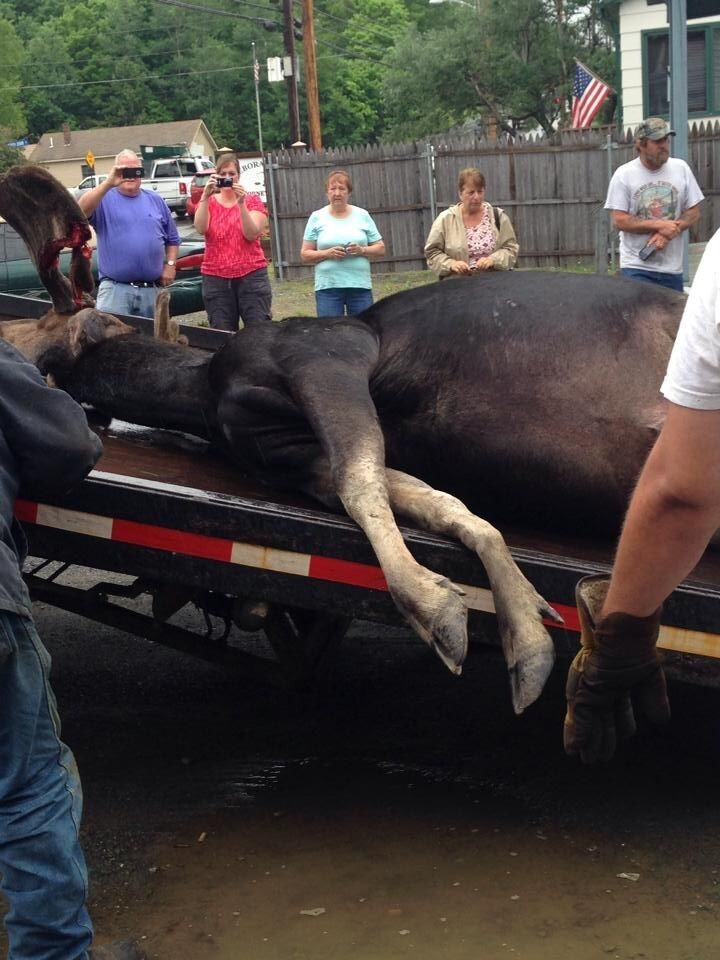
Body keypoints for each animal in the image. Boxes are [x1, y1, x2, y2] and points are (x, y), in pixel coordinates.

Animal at [0, 163, 688, 712]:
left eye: (36, 331)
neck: (200, 393)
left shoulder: (325, 355)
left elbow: (364, 484)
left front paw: (433, 605)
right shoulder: (289, 454)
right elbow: (439, 502)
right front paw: (522, 628)